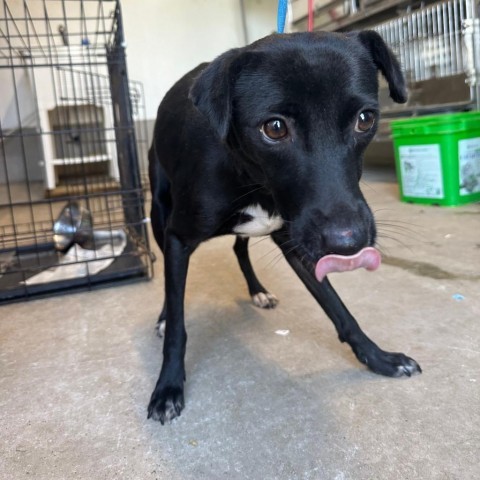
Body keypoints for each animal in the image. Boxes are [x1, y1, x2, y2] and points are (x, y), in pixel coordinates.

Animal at [148, 31, 422, 424]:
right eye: (274, 128)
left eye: (365, 119)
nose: (349, 243)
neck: (253, 178)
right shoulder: (178, 238)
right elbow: (177, 325)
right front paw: (168, 386)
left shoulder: (300, 241)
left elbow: (339, 309)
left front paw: (378, 357)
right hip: (158, 214)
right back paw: (162, 318)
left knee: (239, 247)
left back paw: (258, 290)